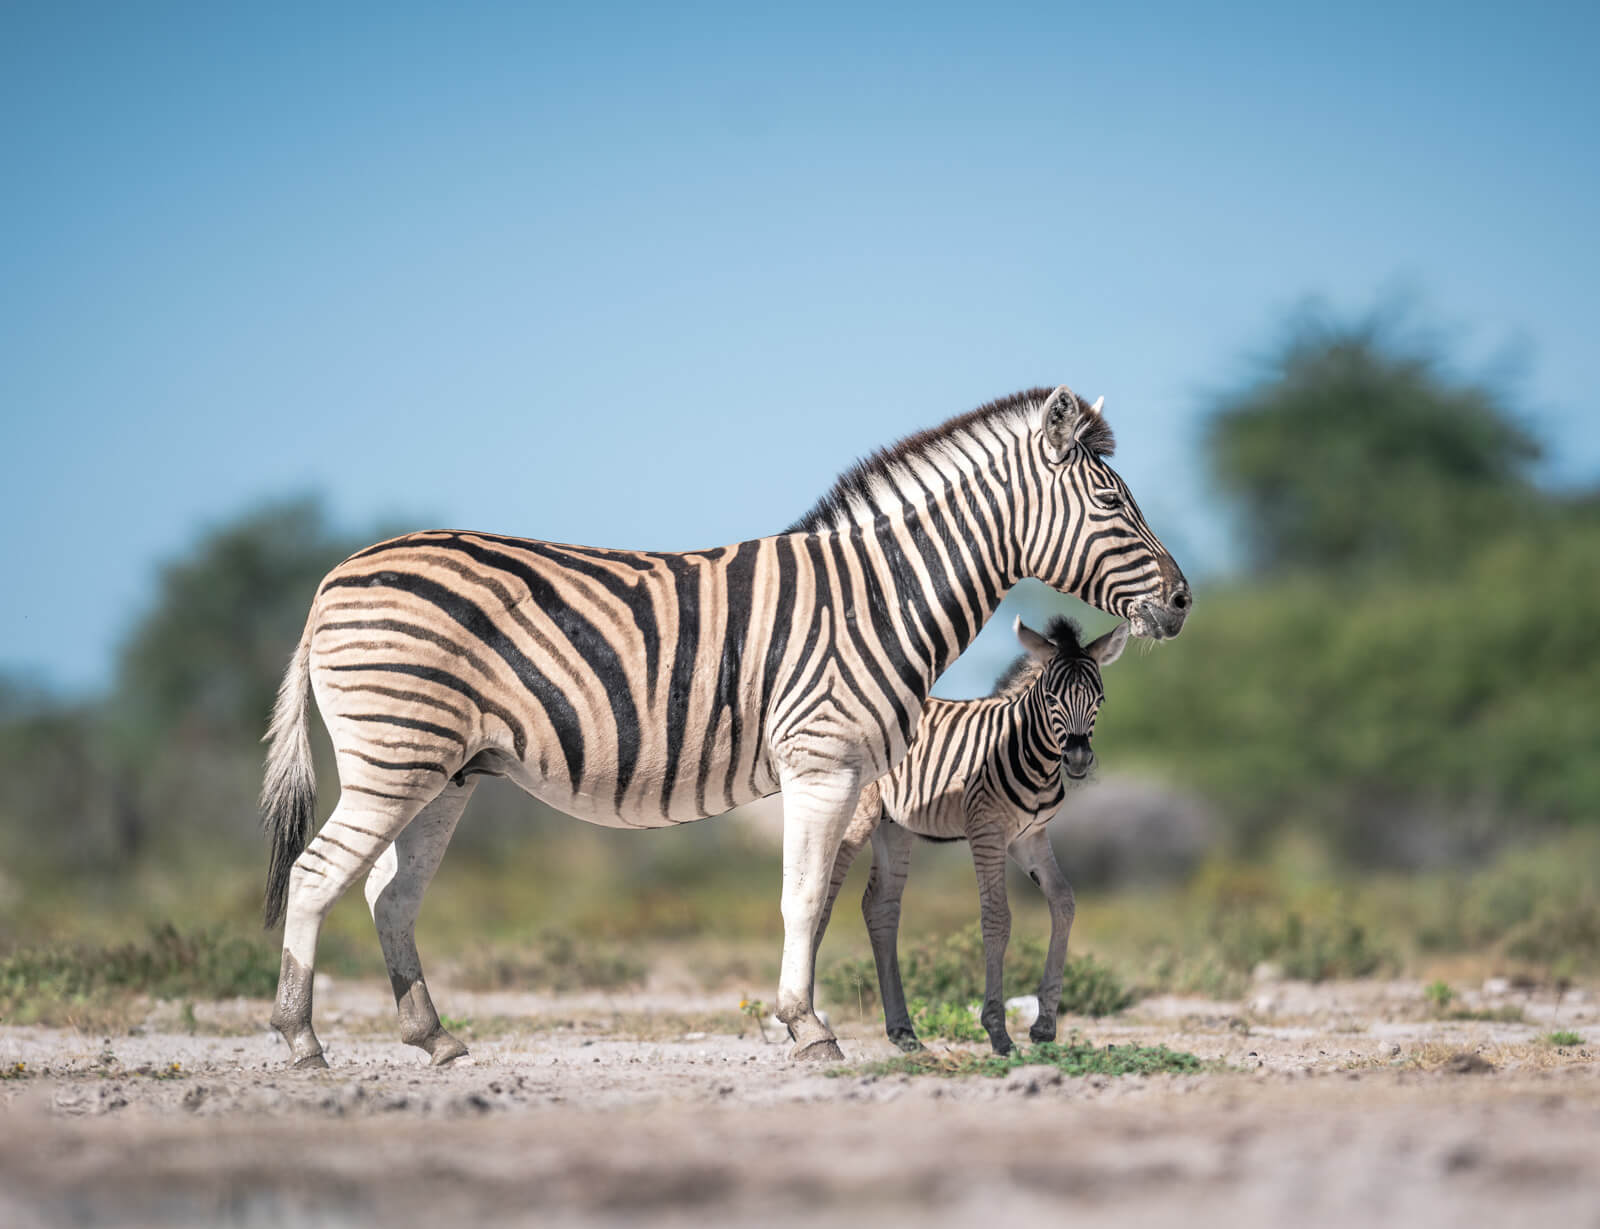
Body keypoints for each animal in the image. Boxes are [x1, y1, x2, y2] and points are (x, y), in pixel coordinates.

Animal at [811, 614, 1127, 1056]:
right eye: (1052, 699)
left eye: (1099, 700)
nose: (1079, 760)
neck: (1031, 753)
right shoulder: (987, 832)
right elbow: (997, 916)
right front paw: (998, 1032)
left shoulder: (1030, 836)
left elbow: (1064, 902)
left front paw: (1045, 1024)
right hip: (857, 817)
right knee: (819, 899)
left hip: (894, 827)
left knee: (881, 907)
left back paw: (904, 1033)